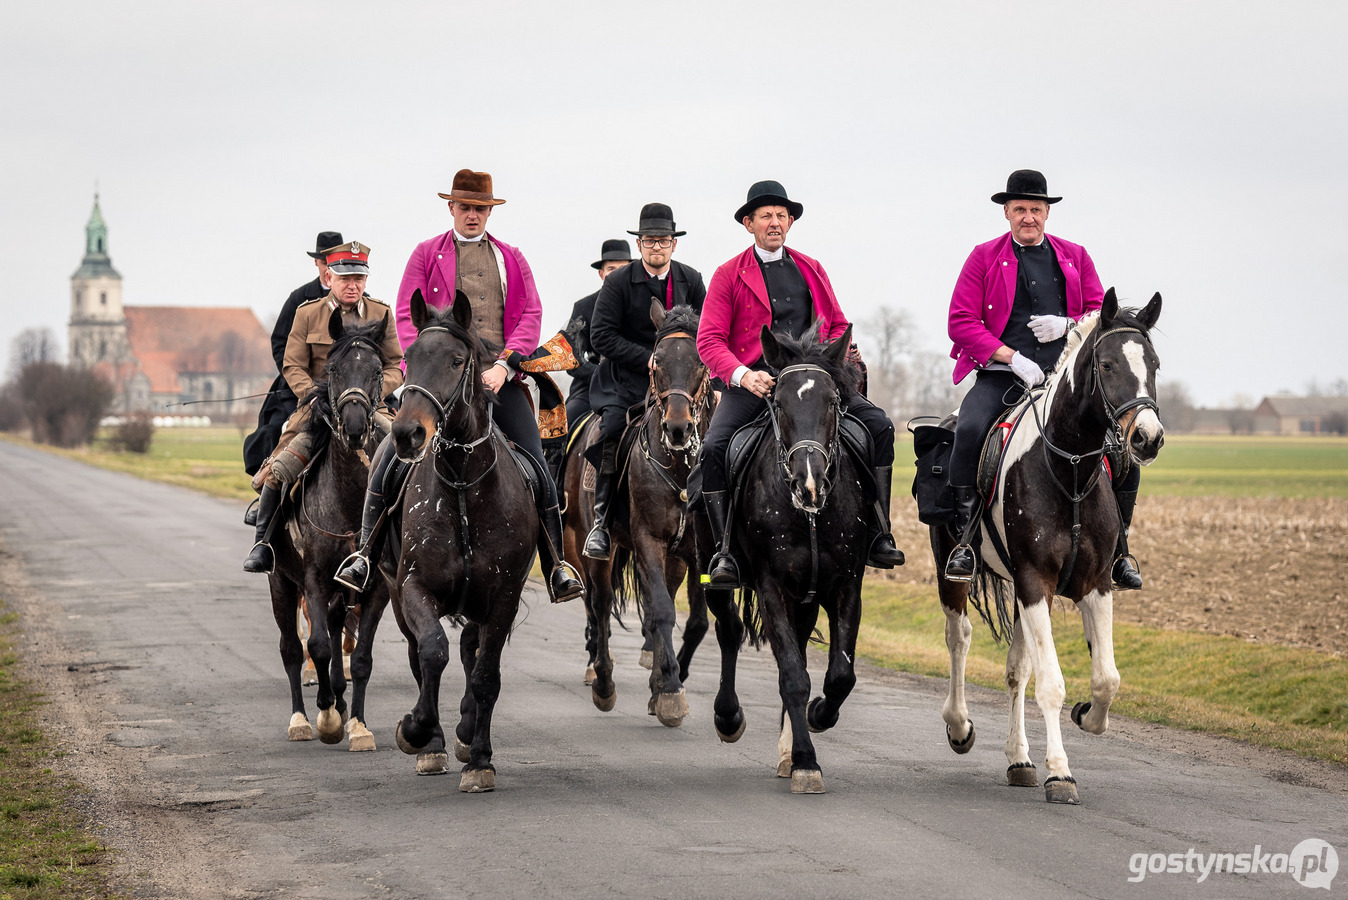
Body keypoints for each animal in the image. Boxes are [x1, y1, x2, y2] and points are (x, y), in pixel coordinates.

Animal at [262, 309, 390, 754]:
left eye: (376, 370)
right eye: (332, 370)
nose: (353, 426)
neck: (352, 501)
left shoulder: (375, 587)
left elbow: (361, 657)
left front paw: (359, 726)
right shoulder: (314, 580)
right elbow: (314, 646)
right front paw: (329, 717)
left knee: (336, 633)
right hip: (282, 583)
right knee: (291, 649)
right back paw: (302, 719)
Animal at [932, 289, 1164, 808]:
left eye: (1155, 364)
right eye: (1106, 364)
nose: (1148, 438)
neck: (1070, 470)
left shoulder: (1094, 585)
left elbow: (1106, 678)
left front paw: (1087, 716)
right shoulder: (1036, 581)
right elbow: (1052, 684)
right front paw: (1061, 772)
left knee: (1017, 670)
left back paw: (1019, 760)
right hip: (953, 572)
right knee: (959, 639)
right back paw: (959, 727)